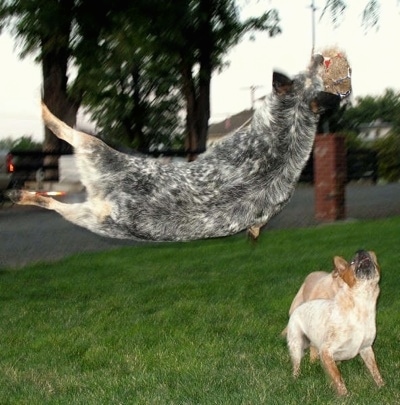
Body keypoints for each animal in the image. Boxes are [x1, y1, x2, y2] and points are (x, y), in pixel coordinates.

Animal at [6, 53, 340, 240]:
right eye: (309, 74)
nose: (320, 57)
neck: (290, 124)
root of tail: (112, 202)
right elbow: (257, 228)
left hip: (94, 159)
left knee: (63, 146)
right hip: (95, 213)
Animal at [288, 249, 384, 394]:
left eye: (372, 258)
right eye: (352, 262)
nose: (361, 251)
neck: (362, 307)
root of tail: (299, 307)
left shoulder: (366, 348)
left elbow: (375, 371)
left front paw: (383, 387)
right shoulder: (326, 351)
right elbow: (338, 378)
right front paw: (345, 395)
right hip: (296, 346)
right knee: (296, 366)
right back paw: (295, 379)